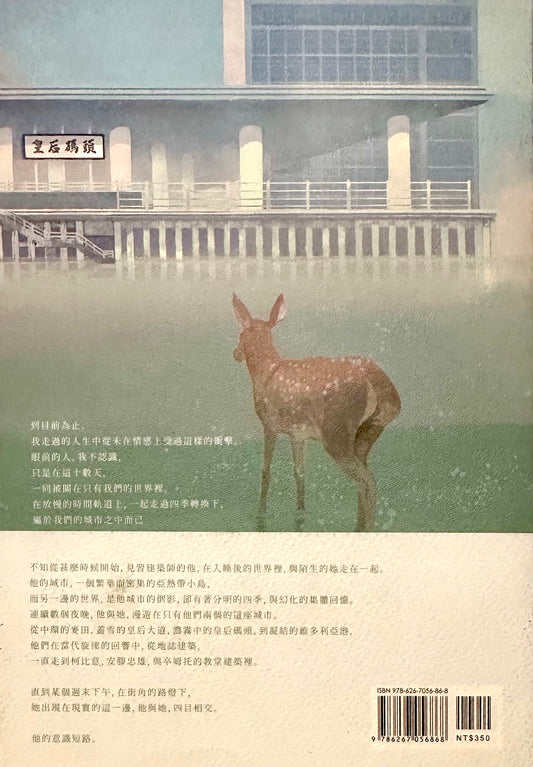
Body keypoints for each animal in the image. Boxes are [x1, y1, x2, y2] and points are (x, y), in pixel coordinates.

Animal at [232, 293, 401, 532]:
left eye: (241, 334)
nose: (235, 353)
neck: (266, 372)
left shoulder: (270, 424)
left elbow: (266, 470)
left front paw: (261, 514)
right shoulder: (297, 434)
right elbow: (299, 473)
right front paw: (300, 514)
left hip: (336, 434)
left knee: (367, 480)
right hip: (369, 432)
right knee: (365, 477)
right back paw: (359, 526)